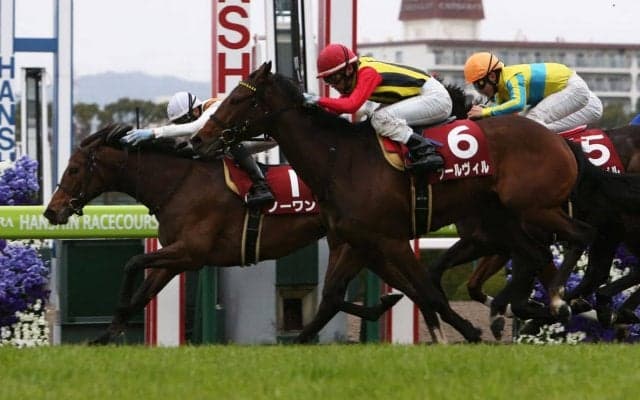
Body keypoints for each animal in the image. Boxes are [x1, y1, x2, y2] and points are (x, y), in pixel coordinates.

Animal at [43, 124, 406, 344]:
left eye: (74, 169)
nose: (50, 211)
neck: (179, 185)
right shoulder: (176, 257)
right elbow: (144, 293)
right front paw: (106, 334)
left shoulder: (191, 252)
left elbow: (132, 262)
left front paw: (112, 324)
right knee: (337, 294)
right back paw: (381, 304)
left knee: (335, 294)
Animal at [190, 61, 604, 337]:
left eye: (239, 98)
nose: (198, 139)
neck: (339, 158)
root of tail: (559, 141)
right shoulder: (359, 241)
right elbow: (332, 298)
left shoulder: (390, 239)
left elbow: (428, 292)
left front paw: (464, 333)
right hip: (505, 220)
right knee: (539, 253)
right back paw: (537, 307)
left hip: (535, 208)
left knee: (581, 236)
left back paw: (562, 300)